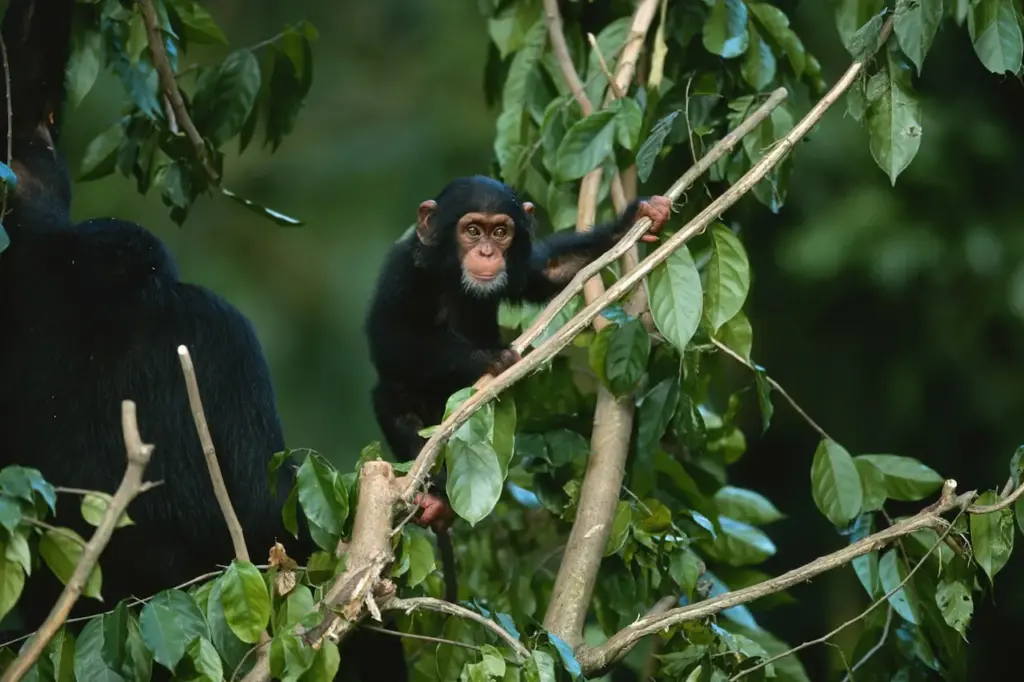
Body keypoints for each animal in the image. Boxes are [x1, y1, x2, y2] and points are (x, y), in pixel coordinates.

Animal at [365, 175, 672, 601]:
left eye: (500, 232)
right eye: (471, 230)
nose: (487, 250)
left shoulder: (522, 269)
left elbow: (547, 273)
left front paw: (638, 216)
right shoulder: (404, 272)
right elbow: (391, 336)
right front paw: (489, 358)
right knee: (394, 399)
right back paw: (432, 497)